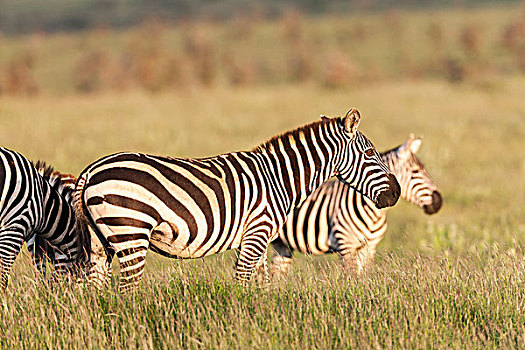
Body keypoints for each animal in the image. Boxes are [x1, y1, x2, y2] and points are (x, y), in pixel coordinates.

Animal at [74, 109, 402, 290]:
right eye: (370, 153)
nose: (396, 193)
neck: (278, 177)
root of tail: (90, 170)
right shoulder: (257, 232)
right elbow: (243, 282)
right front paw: (243, 321)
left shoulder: (261, 238)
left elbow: (261, 284)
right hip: (131, 233)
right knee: (127, 291)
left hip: (100, 244)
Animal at [270, 135, 442, 274]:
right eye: (415, 172)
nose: (438, 201)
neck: (372, 213)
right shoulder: (346, 245)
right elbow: (352, 278)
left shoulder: (369, 247)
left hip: (282, 245)